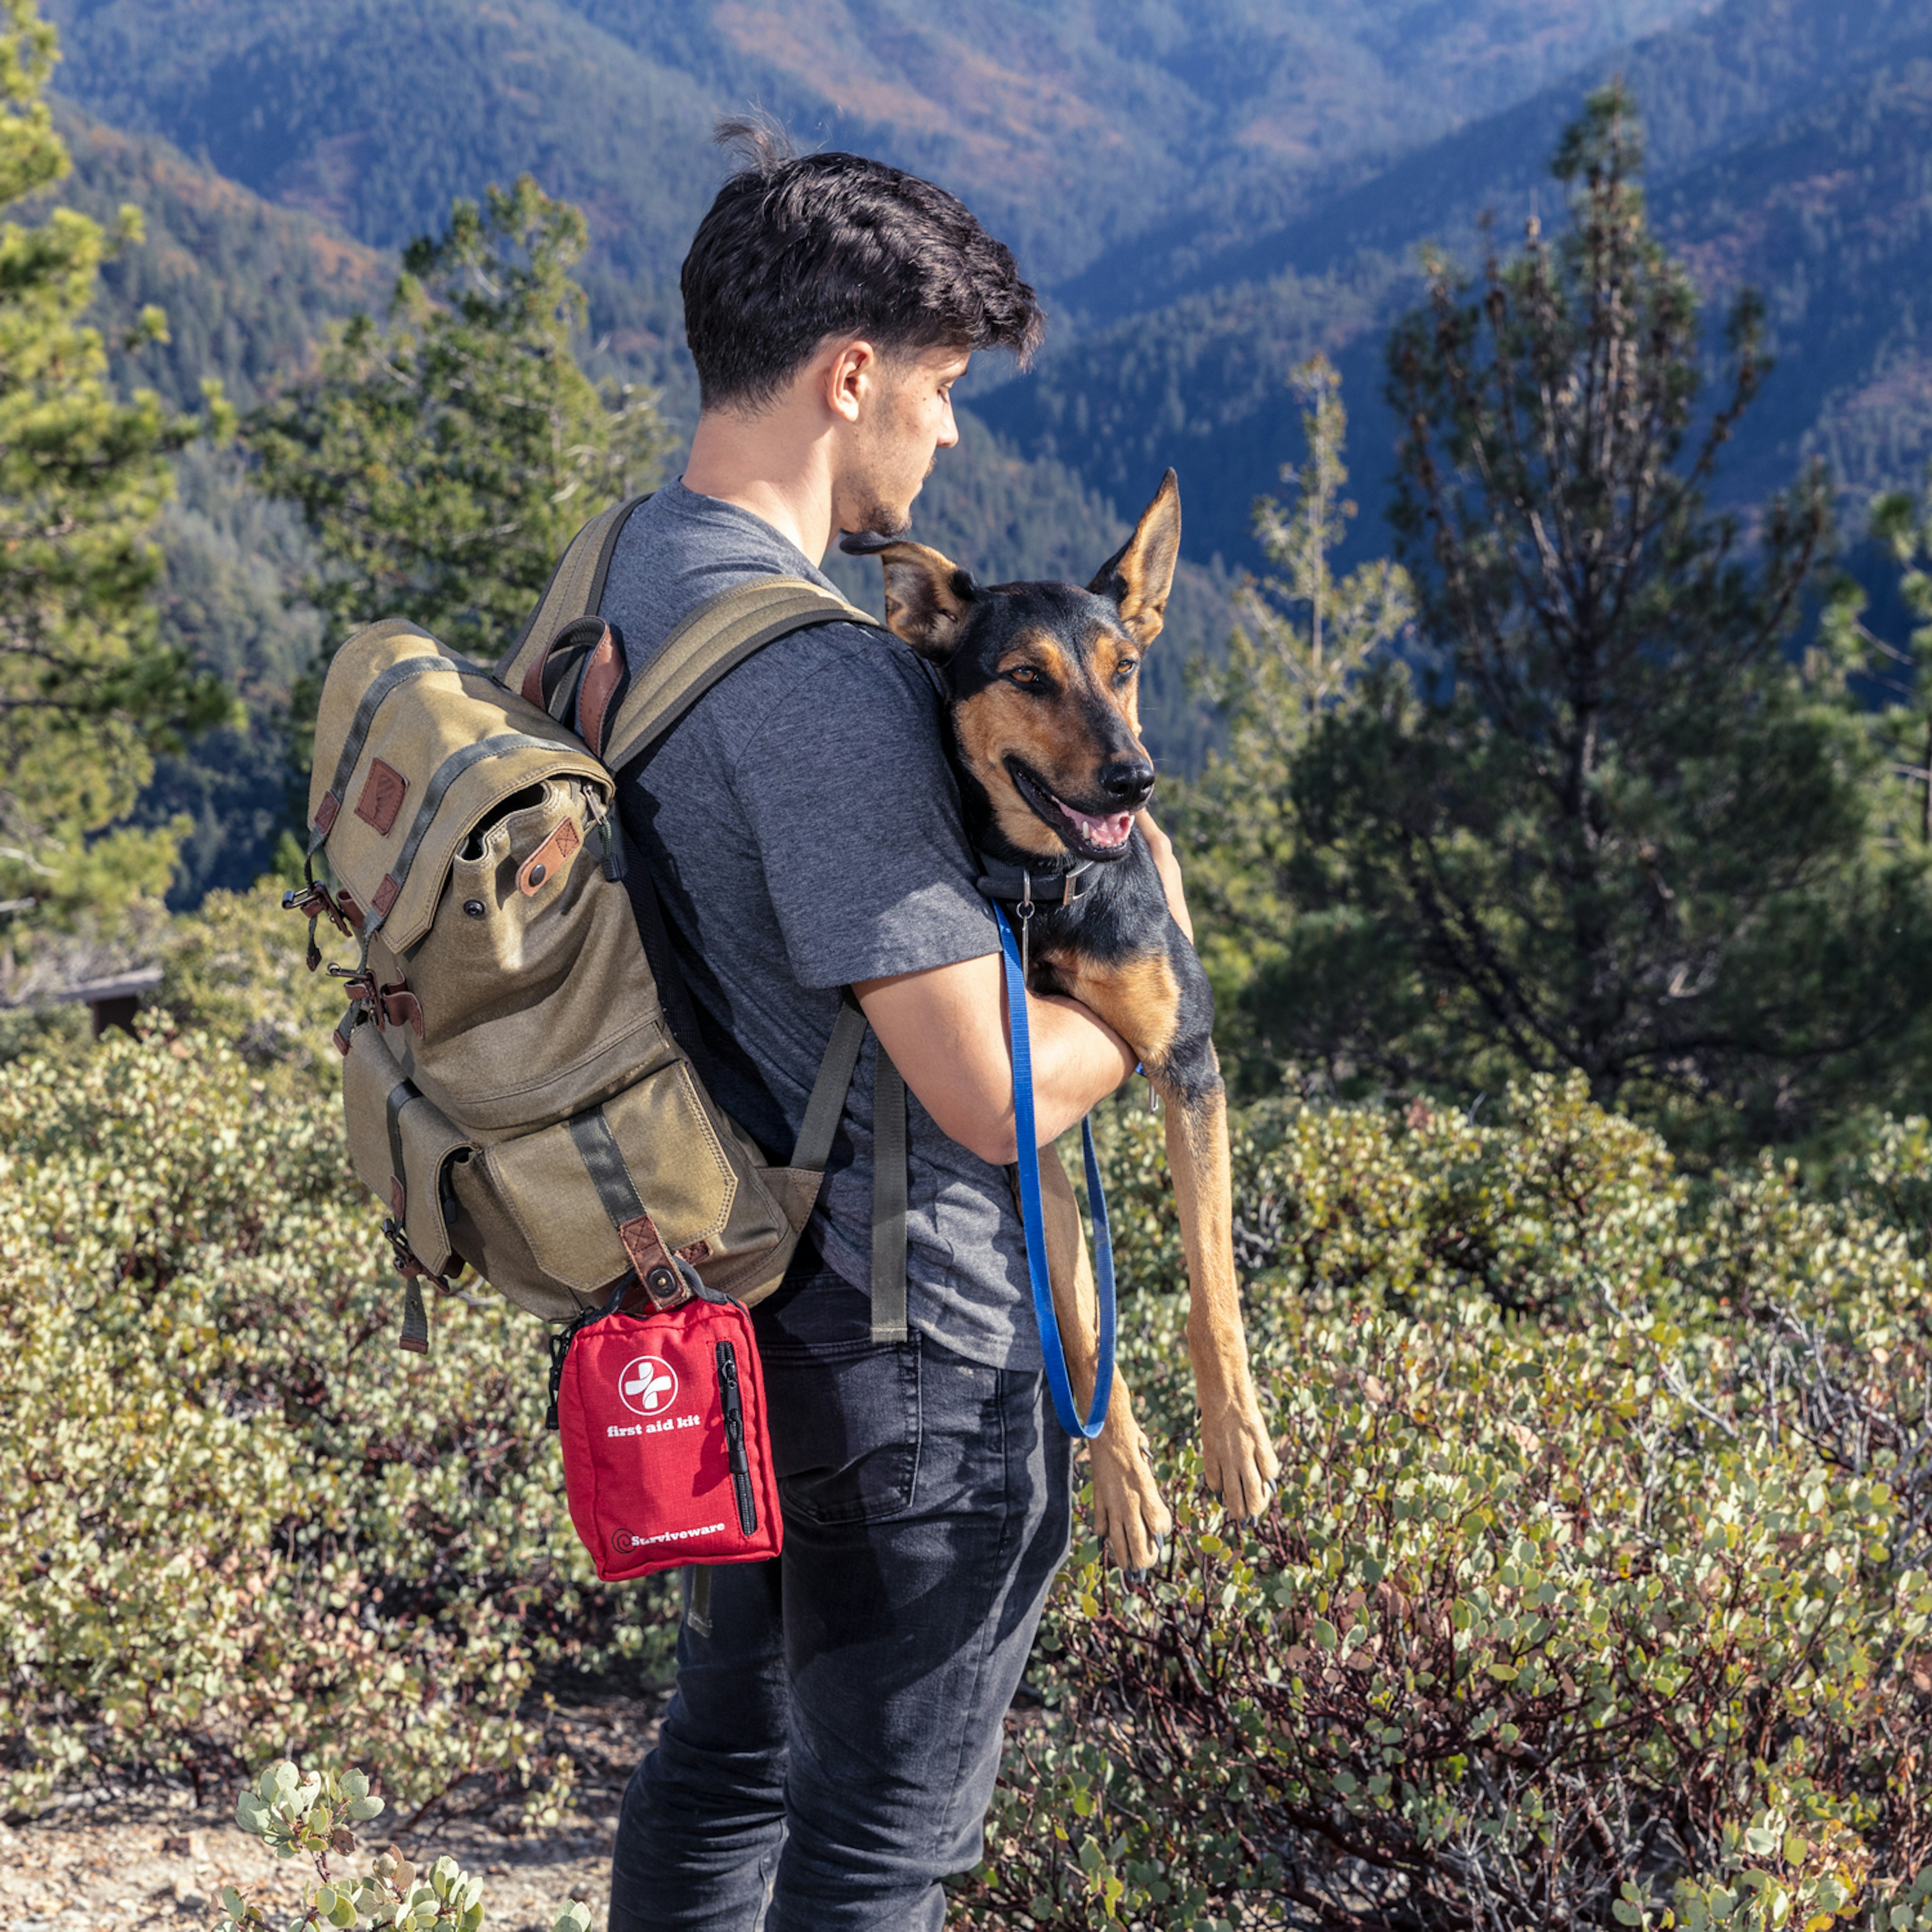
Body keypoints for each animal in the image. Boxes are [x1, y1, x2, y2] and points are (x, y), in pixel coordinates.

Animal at [846, 471, 1282, 1569]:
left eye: (1125, 672)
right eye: (1026, 678)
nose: (1136, 779)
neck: (1050, 888)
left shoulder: (1189, 1060)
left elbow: (1213, 1286)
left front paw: (1235, 1442)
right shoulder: (1029, 1114)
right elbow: (1083, 1330)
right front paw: (1122, 1486)